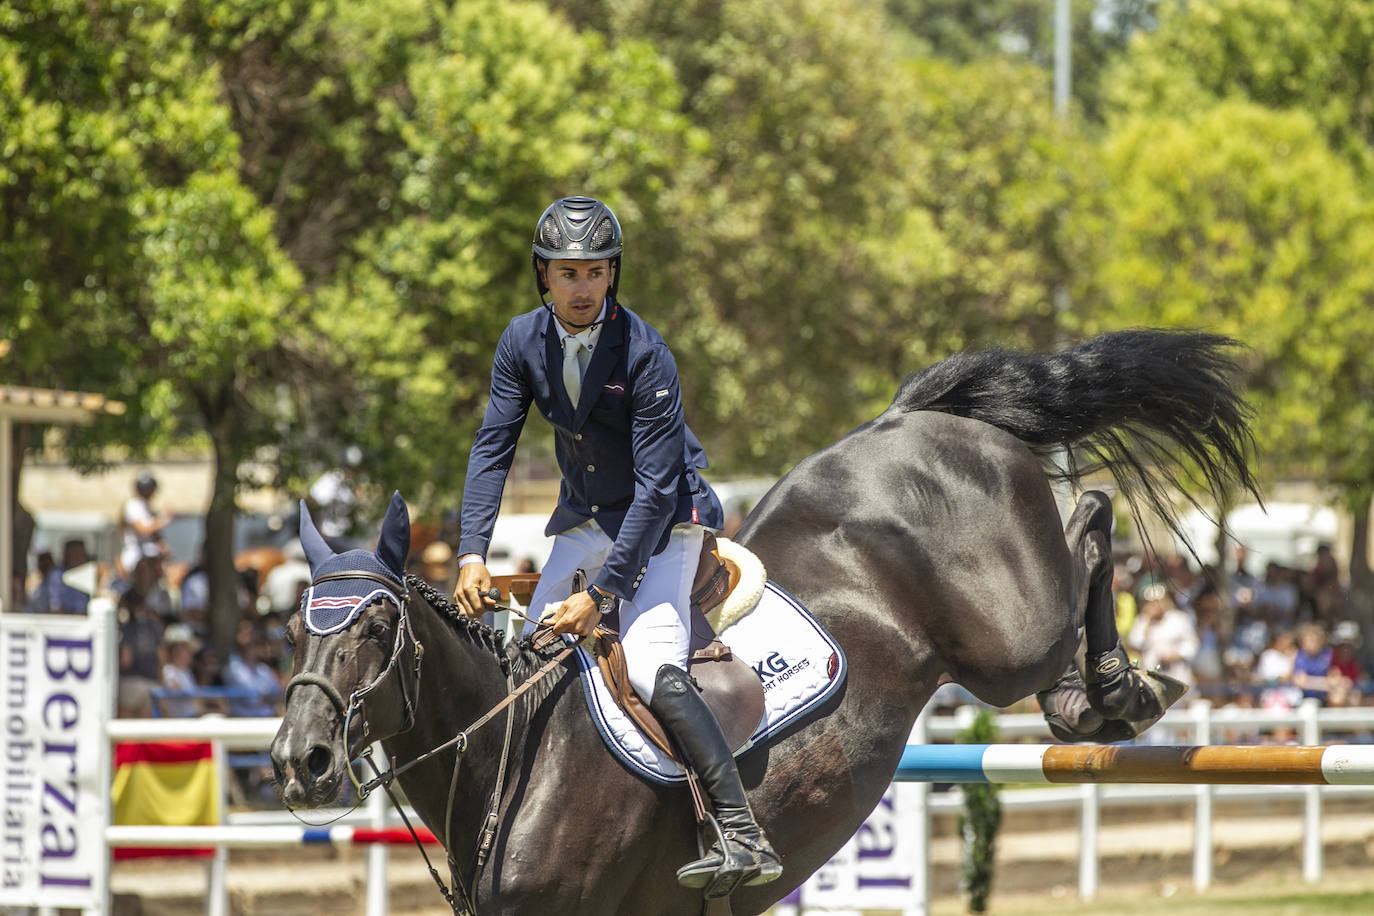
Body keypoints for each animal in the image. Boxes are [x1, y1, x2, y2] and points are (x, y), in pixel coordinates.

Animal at [267, 330, 1258, 916]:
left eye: (376, 630)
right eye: (295, 631)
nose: (300, 761)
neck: (518, 755)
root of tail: (911, 420)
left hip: (1007, 637)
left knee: (1090, 517)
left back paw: (1120, 687)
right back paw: (1091, 701)